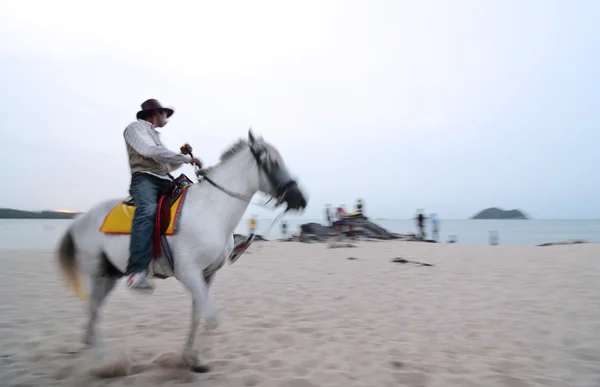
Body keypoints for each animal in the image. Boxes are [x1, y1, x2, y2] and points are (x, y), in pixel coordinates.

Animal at [56, 130, 308, 372]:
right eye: (272, 162)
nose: (301, 200)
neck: (211, 210)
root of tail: (79, 220)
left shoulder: (207, 275)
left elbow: (199, 316)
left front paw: (193, 359)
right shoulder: (188, 274)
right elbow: (211, 317)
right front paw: (192, 358)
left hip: (109, 275)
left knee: (94, 311)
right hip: (96, 274)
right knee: (94, 310)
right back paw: (104, 363)